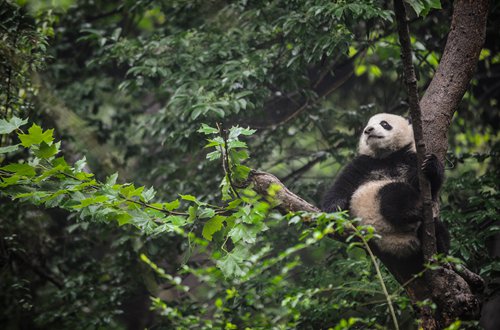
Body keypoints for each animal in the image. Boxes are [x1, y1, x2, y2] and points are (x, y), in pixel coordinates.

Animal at [322, 113, 452, 260]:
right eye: (367, 126)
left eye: (384, 124)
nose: (368, 130)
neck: (387, 156)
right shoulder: (363, 163)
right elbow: (343, 185)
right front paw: (333, 209)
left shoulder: (410, 159)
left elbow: (430, 187)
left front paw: (431, 165)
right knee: (393, 194)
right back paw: (413, 210)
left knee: (438, 227)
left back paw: (440, 245)